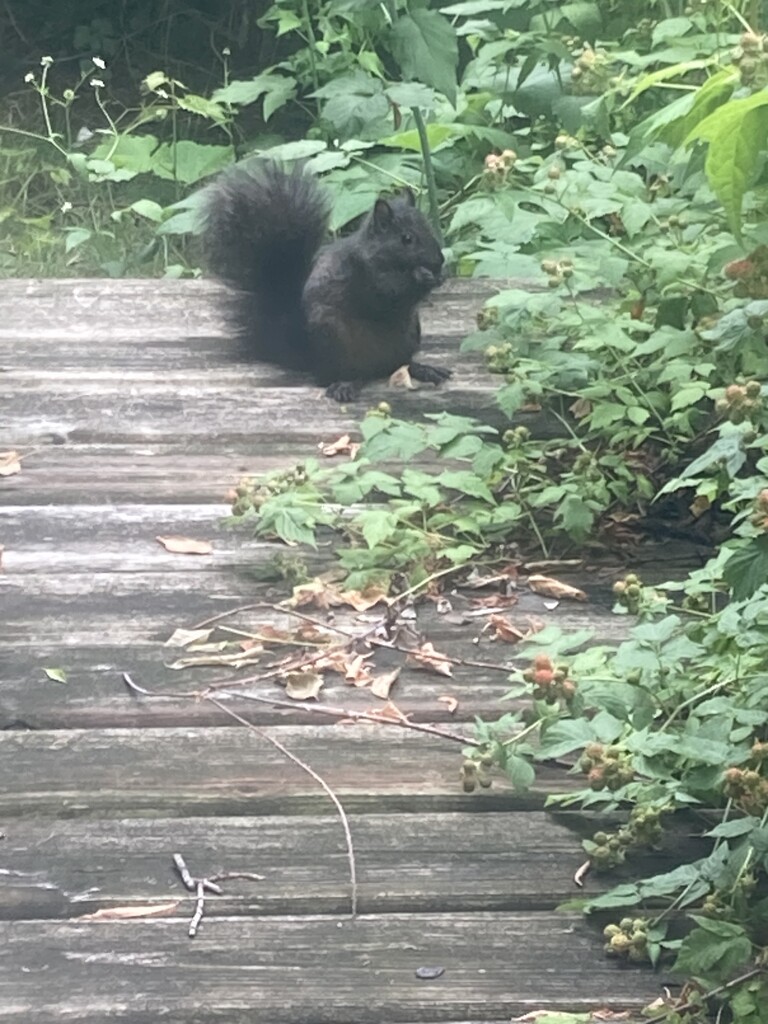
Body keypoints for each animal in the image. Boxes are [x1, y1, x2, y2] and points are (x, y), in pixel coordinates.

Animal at [199, 161, 450, 397]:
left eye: (429, 227)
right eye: (406, 239)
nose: (439, 260)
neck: (379, 254)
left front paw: (440, 276)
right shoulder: (366, 275)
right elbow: (388, 292)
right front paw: (422, 275)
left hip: (409, 335)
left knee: (399, 364)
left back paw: (423, 369)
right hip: (333, 338)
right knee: (341, 375)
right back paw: (346, 384)